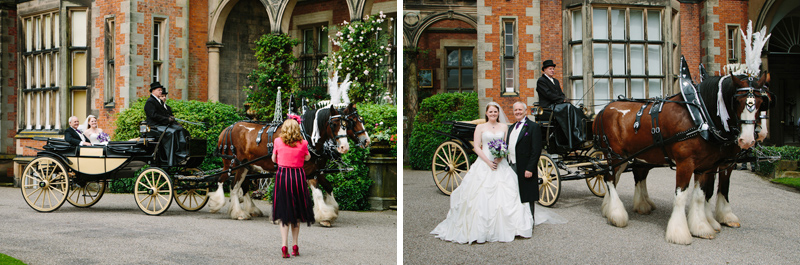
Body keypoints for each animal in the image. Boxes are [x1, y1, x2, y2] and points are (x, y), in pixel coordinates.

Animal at [206, 102, 368, 222]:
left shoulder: (314, 170)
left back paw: (244, 211)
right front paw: (325, 216)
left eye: (346, 124)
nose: (344, 147)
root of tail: (229, 128)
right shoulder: (308, 171)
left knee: (238, 186)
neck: (306, 136)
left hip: (245, 166)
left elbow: (326, 187)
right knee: (225, 182)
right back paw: (223, 206)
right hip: (233, 164)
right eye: (335, 124)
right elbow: (317, 193)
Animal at [596, 72, 772, 243]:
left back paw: (612, 208)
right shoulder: (685, 163)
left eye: (761, 102)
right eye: (737, 101)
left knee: (621, 178)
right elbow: (681, 196)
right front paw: (679, 232)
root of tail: (604, 109)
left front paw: (703, 226)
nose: (748, 139)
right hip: (614, 156)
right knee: (609, 179)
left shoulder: (707, 166)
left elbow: (702, 195)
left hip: (628, 157)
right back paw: (617, 214)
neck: (699, 117)